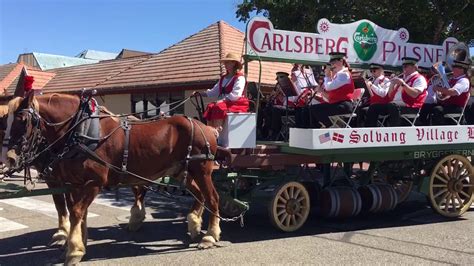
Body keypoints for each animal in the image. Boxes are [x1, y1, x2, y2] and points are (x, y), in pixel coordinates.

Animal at [6, 93, 222, 264]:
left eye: (22, 119)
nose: (10, 158)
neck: (83, 132)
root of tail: (206, 128)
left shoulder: (94, 183)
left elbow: (76, 212)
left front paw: (74, 250)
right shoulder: (75, 184)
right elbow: (80, 214)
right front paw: (79, 243)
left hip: (202, 170)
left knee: (212, 198)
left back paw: (210, 236)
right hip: (182, 171)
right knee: (199, 195)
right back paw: (194, 225)